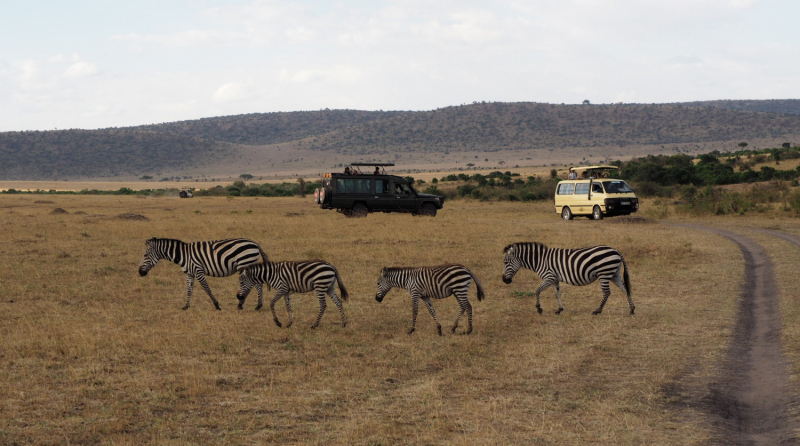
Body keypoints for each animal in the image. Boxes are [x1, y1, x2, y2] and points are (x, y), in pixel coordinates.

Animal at [139, 237, 268, 310]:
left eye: (145, 255)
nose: (140, 272)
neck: (183, 255)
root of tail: (255, 243)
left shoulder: (198, 271)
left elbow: (207, 288)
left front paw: (216, 305)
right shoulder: (190, 274)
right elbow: (189, 290)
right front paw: (186, 306)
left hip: (245, 263)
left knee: (255, 284)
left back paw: (247, 305)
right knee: (258, 284)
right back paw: (257, 305)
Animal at [504, 242, 636, 316]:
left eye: (505, 262)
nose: (505, 280)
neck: (539, 260)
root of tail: (616, 251)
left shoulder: (549, 277)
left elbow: (537, 290)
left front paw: (539, 308)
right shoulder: (555, 279)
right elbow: (557, 294)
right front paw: (559, 309)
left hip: (604, 273)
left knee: (607, 292)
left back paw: (597, 311)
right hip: (614, 274)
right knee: (625, 289)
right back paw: (632, 309)